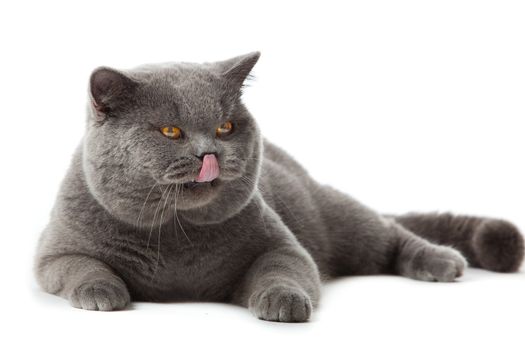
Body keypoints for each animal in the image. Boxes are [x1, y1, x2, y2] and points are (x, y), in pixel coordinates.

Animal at [34, 52, 520, 322]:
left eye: (225, 127)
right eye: (171, 131)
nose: (209, 153)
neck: (177, 235)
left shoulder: (282, 244)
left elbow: (281, 268)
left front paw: (284, 302)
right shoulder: (53, 253)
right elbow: (80, 267)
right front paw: (102, 292)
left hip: (341, 219)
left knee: (391, 234)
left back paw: (442, 261)